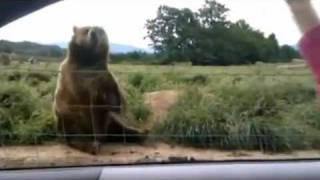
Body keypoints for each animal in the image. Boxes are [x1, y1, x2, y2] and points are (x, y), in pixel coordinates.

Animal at [52, 25, 148, 155]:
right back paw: (90, 144)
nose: (94, 32)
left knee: (119, 126)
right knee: (75, 130)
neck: (88, 61)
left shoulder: (102, 78)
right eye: (86, 30)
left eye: (99, 30)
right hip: (72, 120)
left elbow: (114, 101)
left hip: (110, 122)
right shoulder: (70, 79)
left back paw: (140, 132)